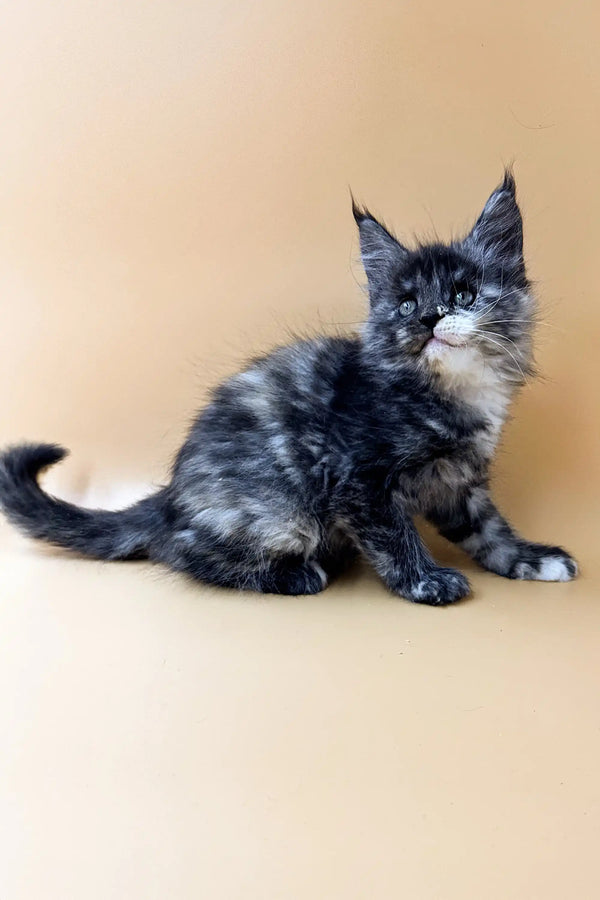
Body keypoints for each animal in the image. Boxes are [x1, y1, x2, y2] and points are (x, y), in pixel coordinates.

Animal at [0, 171, 580, 604]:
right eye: (407, 304)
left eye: (463, 294)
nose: (430, 318)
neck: (450, 392)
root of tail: (169, 498)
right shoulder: (357, 478)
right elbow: (395, 534)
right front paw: (424, 580)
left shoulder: (459, 482)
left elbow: (489, 531)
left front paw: (531, 558)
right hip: (282, 513)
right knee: (179, 551)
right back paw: (295, 573)